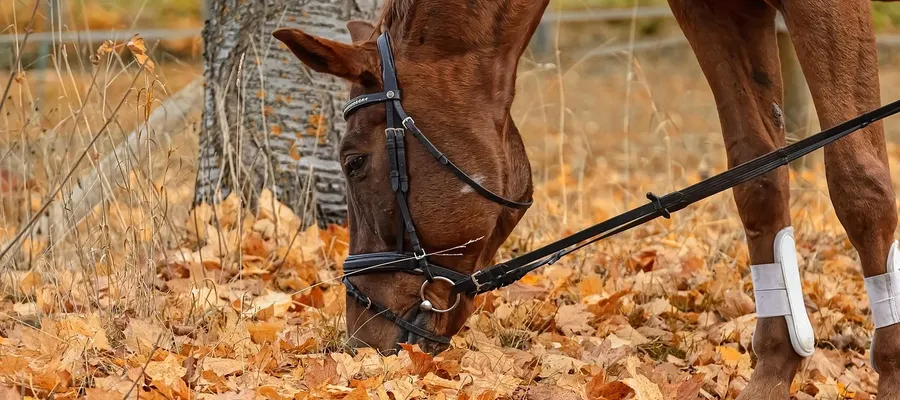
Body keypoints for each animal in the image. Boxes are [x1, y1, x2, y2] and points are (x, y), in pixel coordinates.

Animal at [273, 0, 900, 398]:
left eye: (353, 162)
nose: (360, 338)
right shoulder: (717, 13)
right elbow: (759, 181)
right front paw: (772, 374)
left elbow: (860, 183)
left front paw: (891, 374)